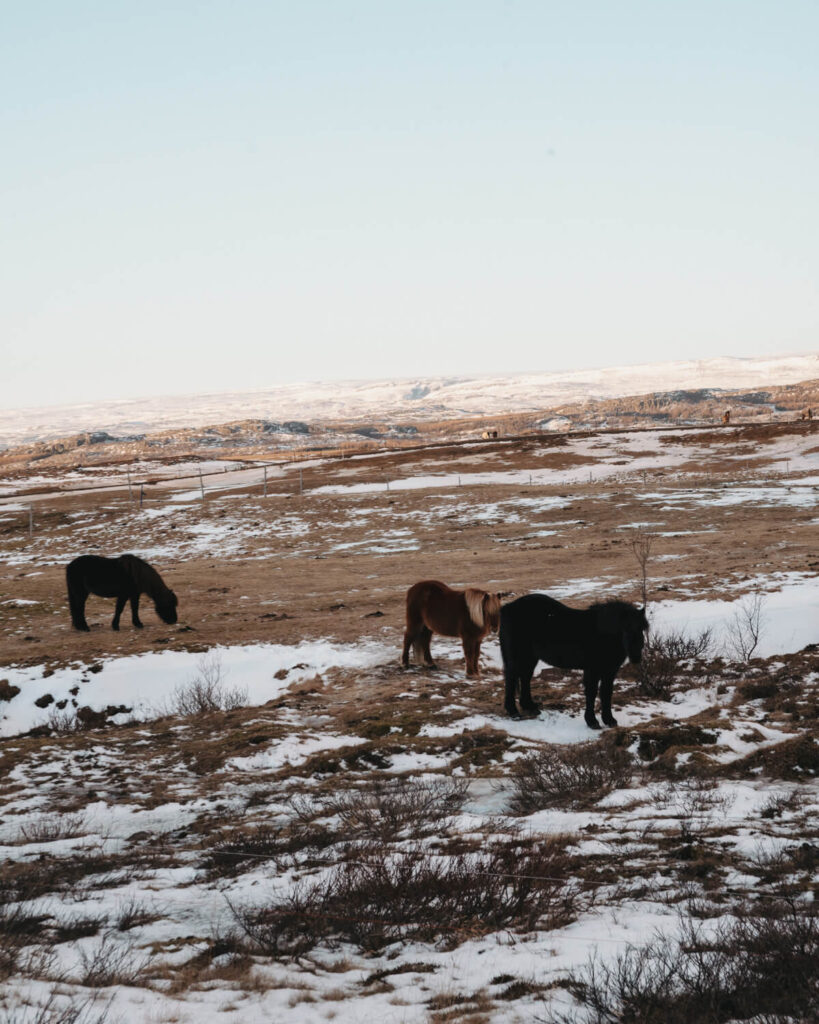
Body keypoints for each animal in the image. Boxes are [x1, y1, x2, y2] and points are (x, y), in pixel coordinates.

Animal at [495, 593, 651, 729]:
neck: (602, 633)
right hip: (517, 658)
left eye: (642, 629)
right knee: (511, 678)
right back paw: (513, 712)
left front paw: (609, 720)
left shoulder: (610, 671)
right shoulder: (593, 670)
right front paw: (592, 721)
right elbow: (592, 693)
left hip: (530, 658)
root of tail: (506, 608)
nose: (636, 657)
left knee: (525, 678)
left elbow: (606, 693)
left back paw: (530, 707)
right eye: (625, 629)